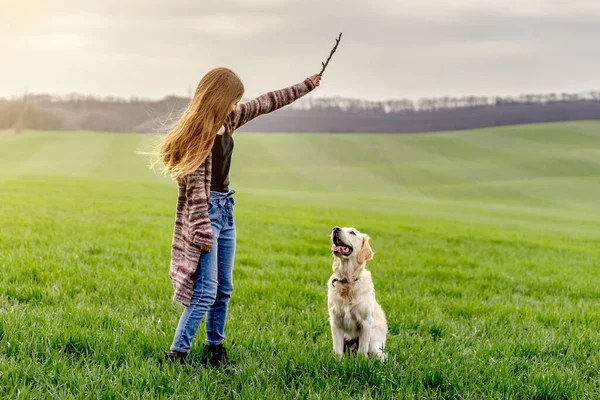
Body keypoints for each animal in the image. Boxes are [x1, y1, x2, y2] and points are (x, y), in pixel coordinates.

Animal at [328, 227, 390, 360]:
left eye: (352, 232)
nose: (335, 229)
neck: (347, 281)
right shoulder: (335, 321)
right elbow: (338, 350)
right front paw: (337, 362)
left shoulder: (366, 323)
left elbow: (362, 351)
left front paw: (361, 363)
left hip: (374, 345)